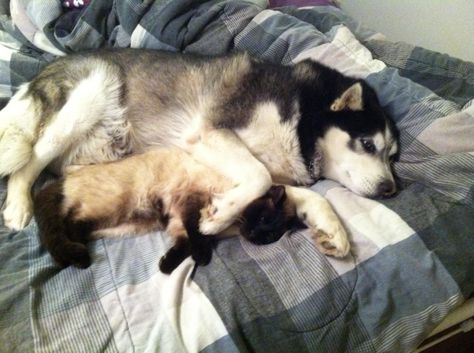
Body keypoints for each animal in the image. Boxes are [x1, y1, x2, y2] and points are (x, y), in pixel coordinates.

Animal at [0, 48, 400, 256]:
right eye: (368, 144)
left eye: (392, 156)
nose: (390, 189)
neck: (304, 116)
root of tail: (49, 67)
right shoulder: (210, 135)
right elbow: (259, 176)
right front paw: (216, 219)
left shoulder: (222, 163)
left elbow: (305, 194)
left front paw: (333, 230)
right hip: (90, 94)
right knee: (31, 158)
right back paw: (18, 206)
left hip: (100, 148)